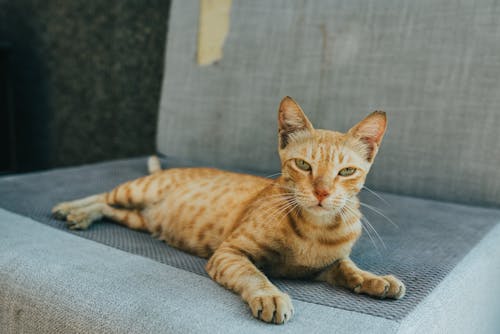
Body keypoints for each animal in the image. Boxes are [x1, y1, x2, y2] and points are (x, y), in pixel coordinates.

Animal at [53, 96, 406, 324]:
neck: (315, 229)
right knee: (102, 195)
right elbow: (254, 274)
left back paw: (81, 215)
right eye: (304, 165)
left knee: (109, 207)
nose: (322, 192)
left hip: (138, 218)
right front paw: (270, 296)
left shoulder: (327, 266)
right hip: (137, 190)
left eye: (346, 172)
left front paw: (376, 280)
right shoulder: (230, 252)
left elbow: (349, 268)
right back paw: (70, 208)